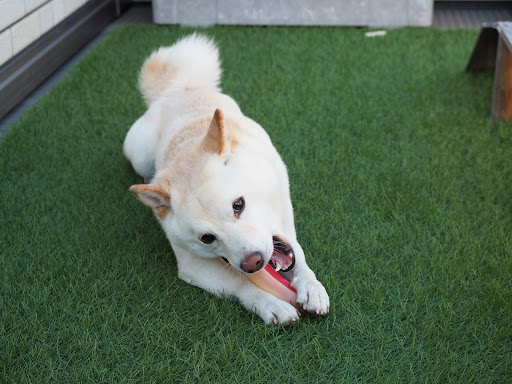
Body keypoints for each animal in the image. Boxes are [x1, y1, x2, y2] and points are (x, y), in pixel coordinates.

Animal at [126, 34, 330, 326]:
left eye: (238, 205)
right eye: (207, 238)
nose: (253, 262)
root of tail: (178, 89)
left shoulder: (285, 223)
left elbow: (298, 256)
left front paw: (311, 286)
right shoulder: (193, 265)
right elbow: (241, 283)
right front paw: (270, 304)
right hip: (139, 154)